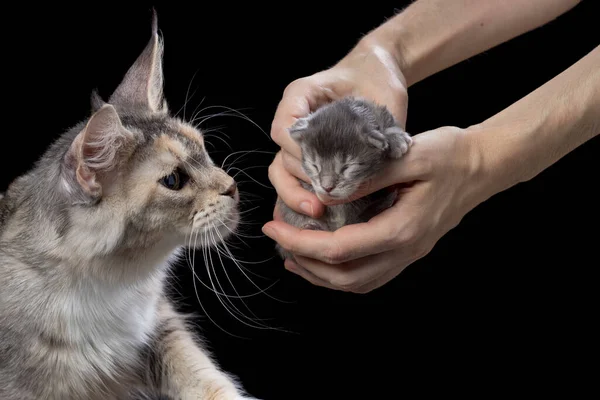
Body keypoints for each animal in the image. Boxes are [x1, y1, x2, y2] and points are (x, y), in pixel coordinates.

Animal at [2, 12, 260, 400]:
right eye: (174, 181)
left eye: (203, 149)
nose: (233, 188)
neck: (113, 287)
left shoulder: (164, 327)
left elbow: (208, 381)